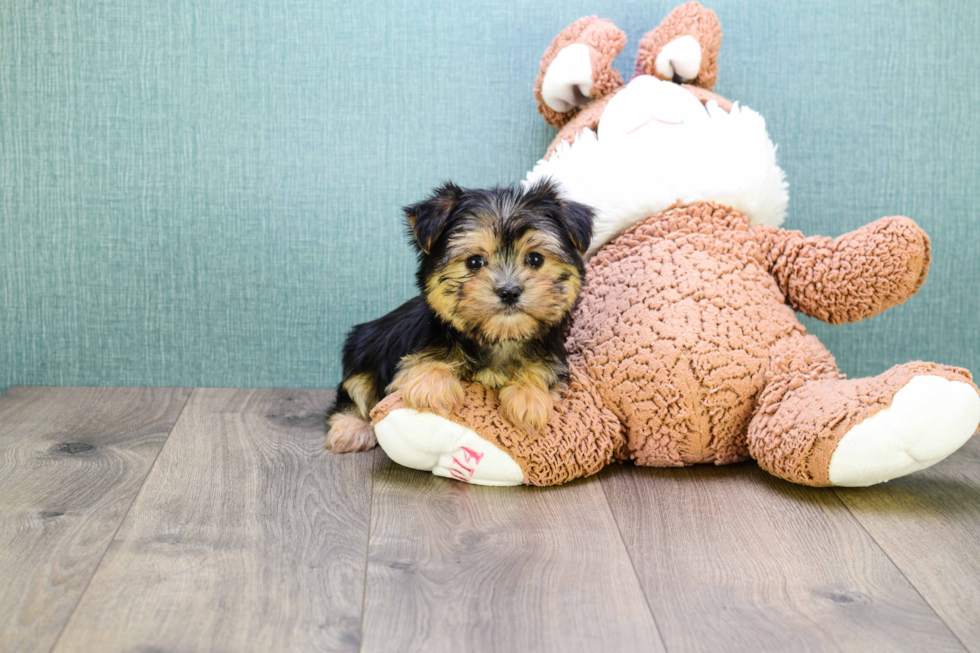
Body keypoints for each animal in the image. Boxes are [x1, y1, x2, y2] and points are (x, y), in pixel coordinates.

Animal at [326, 178, 592, 454]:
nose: (509, 291)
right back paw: (351, 428)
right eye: (474, 262)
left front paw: (530, 397)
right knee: (354, 392)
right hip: (362, 349)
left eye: (536, 259)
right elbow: (419, 364)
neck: (498, 338)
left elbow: (541, 375)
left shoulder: (554, 361)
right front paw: (433, 387)